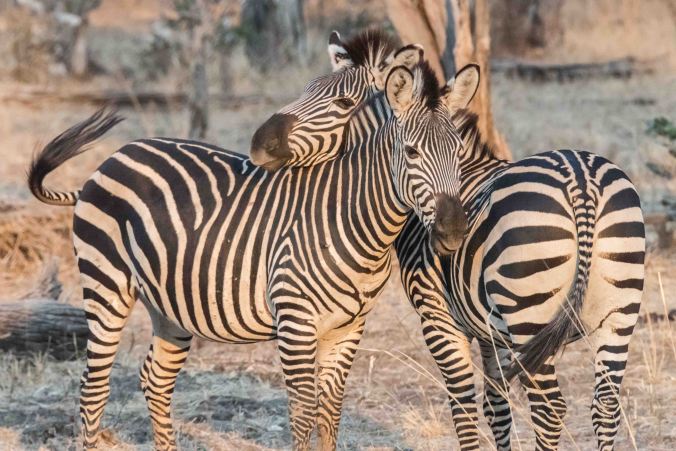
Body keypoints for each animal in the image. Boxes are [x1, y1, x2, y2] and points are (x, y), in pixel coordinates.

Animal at [27, 42, 479, 451]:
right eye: (412, 152)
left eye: (459, 151)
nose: (453, 230)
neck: (352, 219)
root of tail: (113, 158)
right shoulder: (295, 323)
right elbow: (302, 417)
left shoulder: (348, 329)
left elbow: (330, 415)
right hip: (106, 287)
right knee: (93, 388)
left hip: (169, 305)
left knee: (154, 378)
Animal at [253, 65, 645, 449]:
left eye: (342, 103)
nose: (259, 144)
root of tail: (580, 180)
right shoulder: (491, 333)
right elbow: (496, 407)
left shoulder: (439, 318)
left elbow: (463, 407)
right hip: (618, 313)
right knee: (606, 406)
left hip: (530, 316)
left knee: (549, 409)